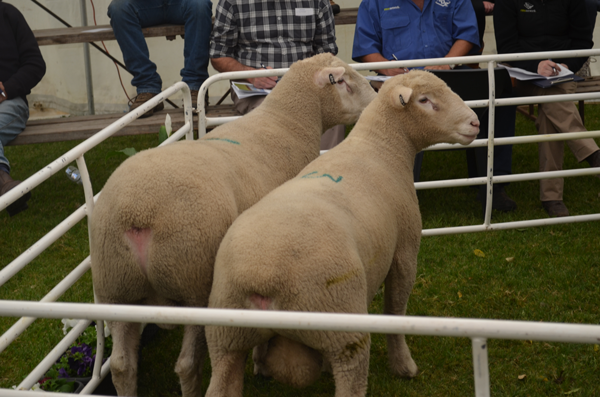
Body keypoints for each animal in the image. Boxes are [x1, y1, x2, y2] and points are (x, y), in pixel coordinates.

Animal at [88, 53, 376, 396]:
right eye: (343, 81)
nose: (377, 97)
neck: (286, 123)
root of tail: (137, 212)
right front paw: (260, 363)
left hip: (116, 288)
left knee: (122, 366)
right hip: (193, 283)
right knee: (186, 365)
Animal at [204, 71, 480, 396]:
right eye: (425, 100)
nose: (475, 123)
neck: (382, 146)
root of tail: (263, 277)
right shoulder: (405, 250)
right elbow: (395, 309)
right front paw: (404, 366)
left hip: (226, 334)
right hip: (342, 325)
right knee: (351, 375)